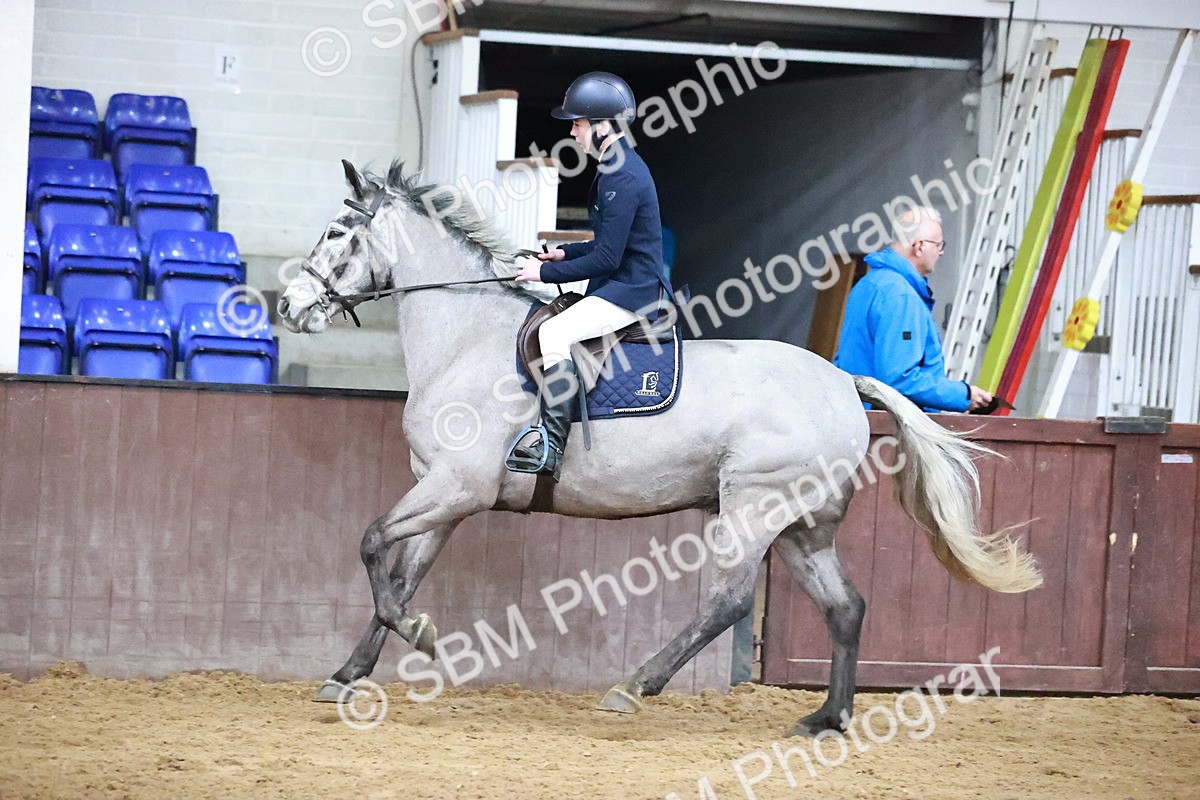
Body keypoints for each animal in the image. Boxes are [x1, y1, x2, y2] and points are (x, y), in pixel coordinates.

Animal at [276, 160, 1042, 736]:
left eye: (337, 230)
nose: (288, 307)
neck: (466, 338)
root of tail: (842, 381)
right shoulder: (448, 494)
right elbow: (398, 576)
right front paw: (348, 674)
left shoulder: (456, 487)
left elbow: (372, 543)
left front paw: (425, 638)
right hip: (802, 523)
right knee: (845, 607)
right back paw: (827, 718)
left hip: (753, 508)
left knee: (728, 604)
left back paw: (636, 685)